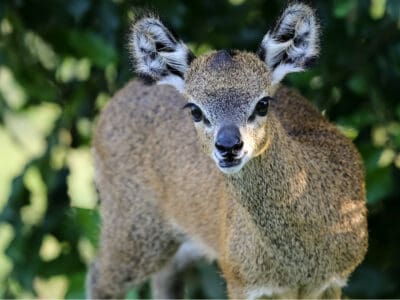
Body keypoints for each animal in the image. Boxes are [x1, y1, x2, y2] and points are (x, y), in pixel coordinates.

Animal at [87, 3, 368, 298]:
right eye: (195, 110)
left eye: (263, 103)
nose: (229, 145)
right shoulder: (240, 280)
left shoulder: (333, 281)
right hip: (134, 222)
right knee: (99, 275)